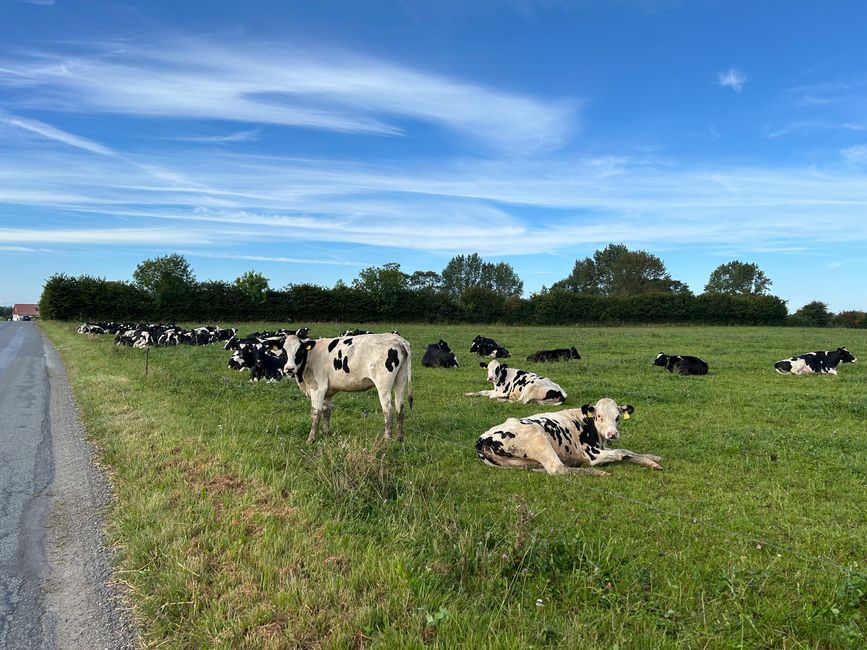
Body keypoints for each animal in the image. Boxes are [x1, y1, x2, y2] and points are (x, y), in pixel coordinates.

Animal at [280, 332, 412, 442]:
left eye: (299, 351)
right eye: (283, 352)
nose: (289, 369)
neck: (310, 357)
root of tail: (397, 338)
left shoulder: (318, 388)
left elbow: (316, 413)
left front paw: (311, 439)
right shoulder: (328, 392)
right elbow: (327, 411)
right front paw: (326, 433)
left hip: (383, 385)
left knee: (388, 409)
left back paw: (387, 439)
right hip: (401, 379)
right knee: (400, 407)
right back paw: (399, 438)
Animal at [478, 394, 660, 476]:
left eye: (618, 417)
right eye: (599, 416)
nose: (612, 434)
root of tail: (482, 440)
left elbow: (628, 451)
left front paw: (653, 459)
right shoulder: (592, 454)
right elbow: (622, 452)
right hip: (537, 436)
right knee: (558, 468)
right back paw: (597, 473)